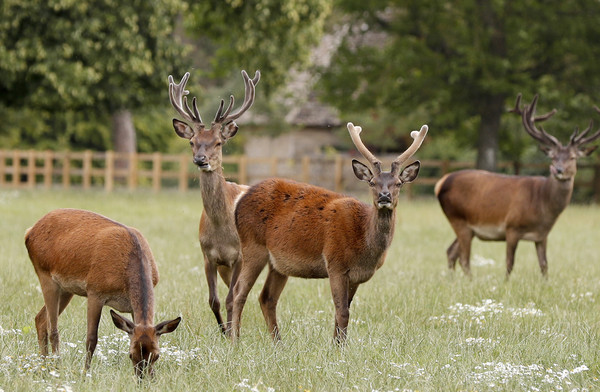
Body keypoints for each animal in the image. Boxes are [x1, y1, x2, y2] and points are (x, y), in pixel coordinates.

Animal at [25, 210, 180, 378]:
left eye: (157, 355)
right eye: (131, 354)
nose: (142, 379)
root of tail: (29, 232)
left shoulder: (132, 309)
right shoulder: (95, 291)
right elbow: (91, 338)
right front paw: (85, 374)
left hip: (65, 289)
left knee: (40, 319)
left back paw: (44, 369)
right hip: (45, 275)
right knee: (53, 329)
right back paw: (56, 370)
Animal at [170, 69, 262, 332]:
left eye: (218, 142)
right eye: (192, 142)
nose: (200, 159)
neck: (222, 229)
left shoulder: (239, 256)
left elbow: (231, 298)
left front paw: (231, 331)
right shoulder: (208, 256)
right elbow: (214, 300)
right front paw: (223, 331)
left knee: (243, 293)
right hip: (224, 268)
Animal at [229, 121, 426, 344]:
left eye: (399, 183)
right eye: (372, 182)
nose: (385, 196)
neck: (364, 243)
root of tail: (240, 199)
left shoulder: (356, 276)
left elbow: (342, 312)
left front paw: (336, 344)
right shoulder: (335, 263)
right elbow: (342, 312)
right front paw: (340, 348)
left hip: (277, 263)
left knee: (267, 297)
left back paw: (278, 343)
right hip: (253, 245)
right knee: (238, 291)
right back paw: (235, 341)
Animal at [436, 93, 600, 278]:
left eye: (572, 157)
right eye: (553, 157)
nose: (558, 170)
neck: (542, 206)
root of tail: (441, 183)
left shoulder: (542, 236)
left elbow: (544, 265)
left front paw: (545, 282)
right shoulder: (511, 227)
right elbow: (509, 263)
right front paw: (505, 283)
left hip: (469, 228)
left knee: (451, 252)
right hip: (458, 218)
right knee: (464, 258)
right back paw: (470, 281)